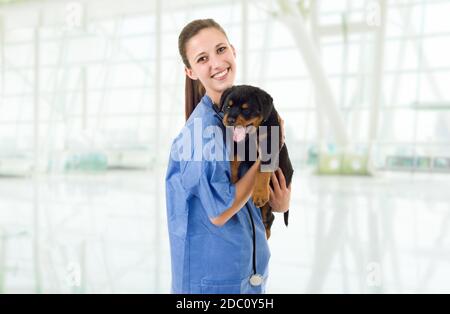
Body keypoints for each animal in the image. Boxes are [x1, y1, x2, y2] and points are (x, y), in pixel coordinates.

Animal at [219, 84, 294, 238]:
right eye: (228, 106)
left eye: (246, 109)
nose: (230, 120)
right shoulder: (240, 144)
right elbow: (233, 161)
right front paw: (233, 180)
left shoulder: (270, 145)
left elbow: (263, 171)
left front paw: (259, 194)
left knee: (269, 216)